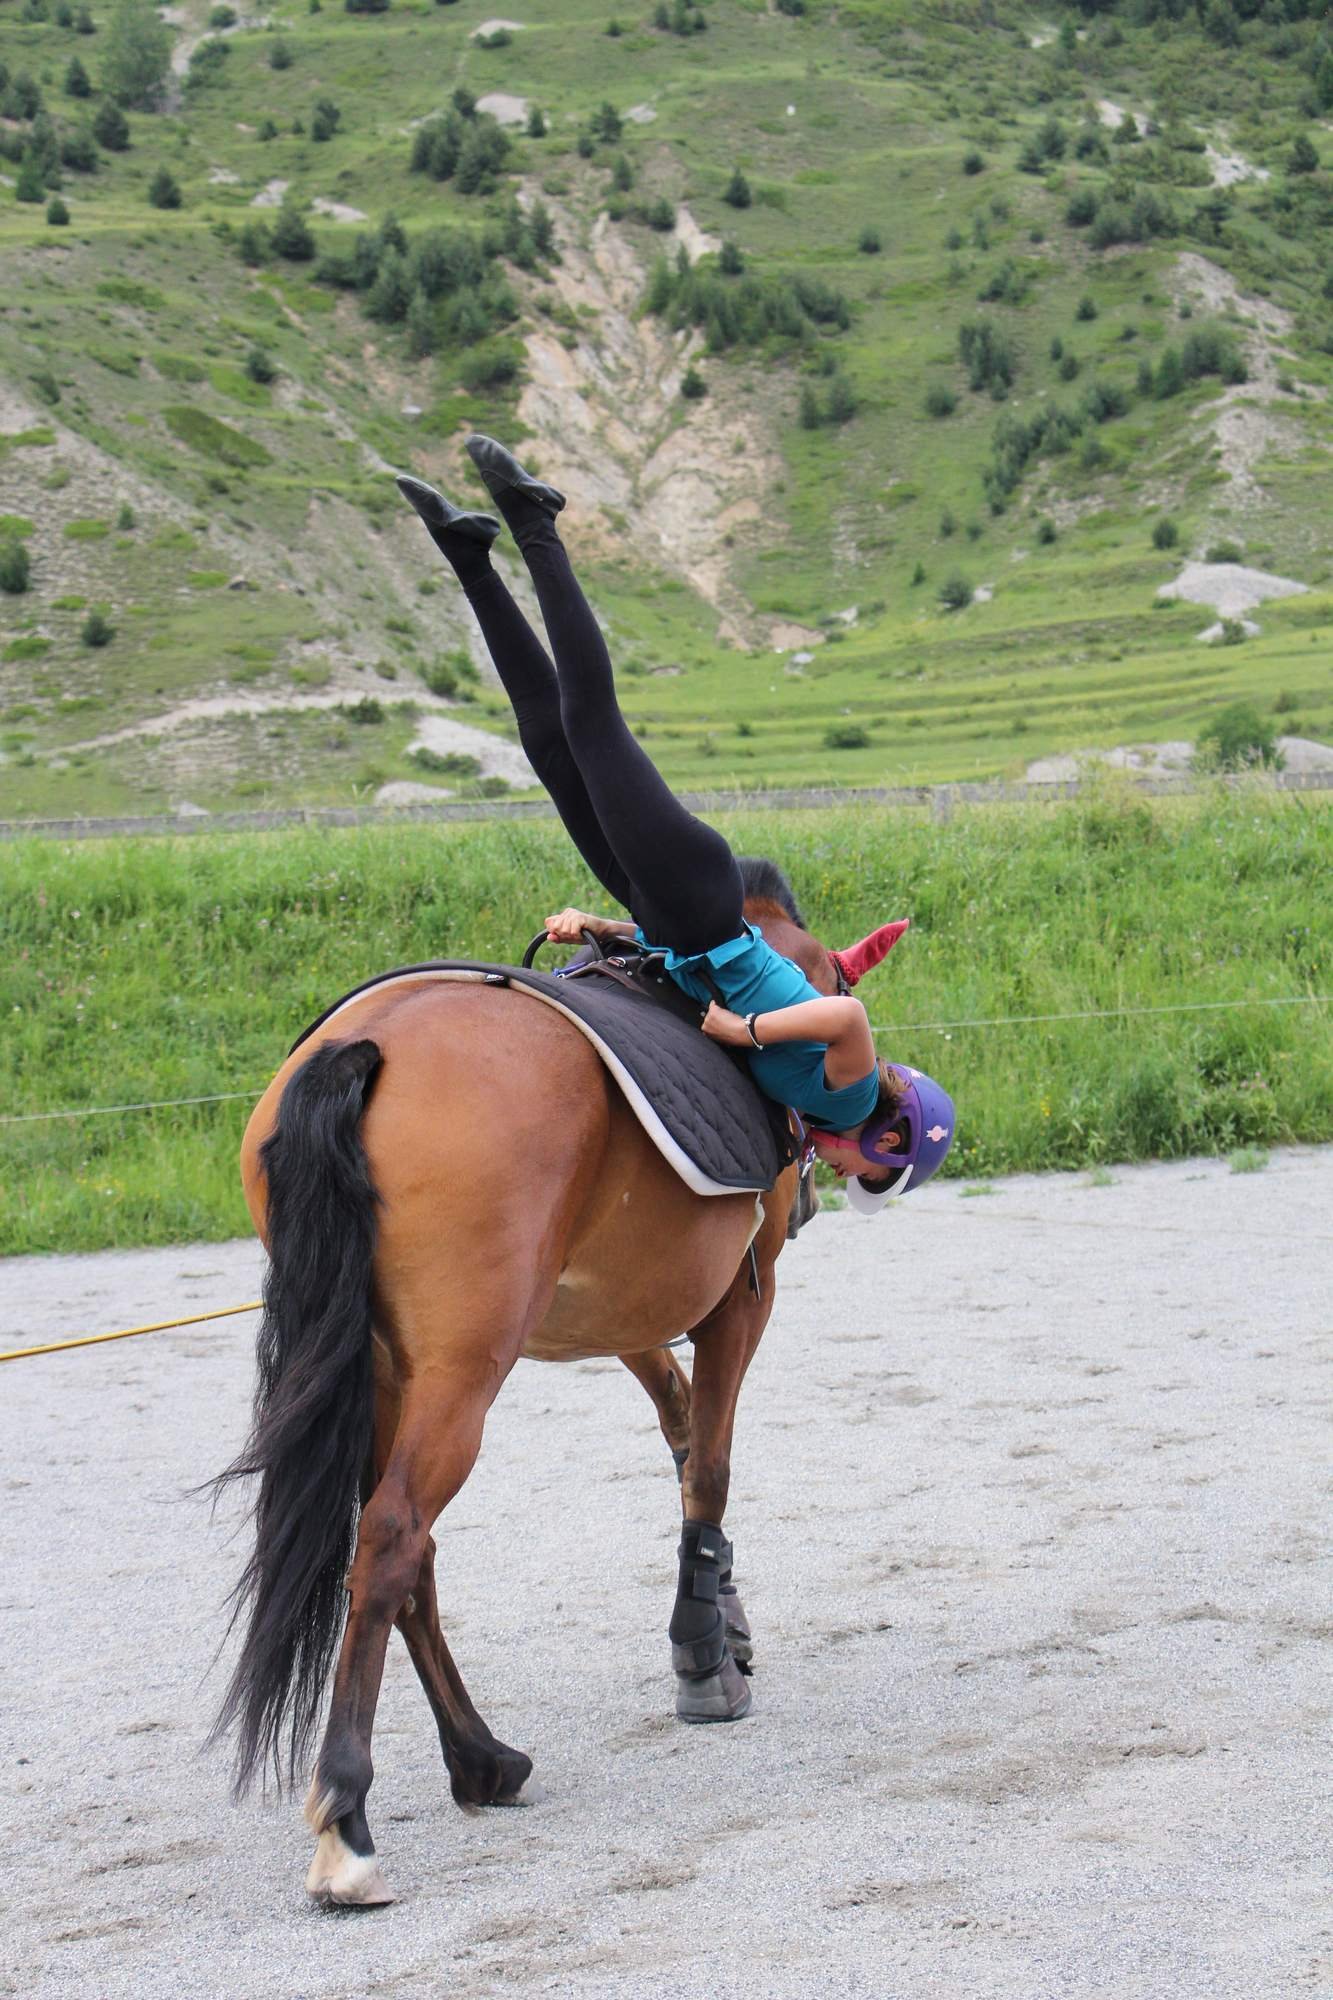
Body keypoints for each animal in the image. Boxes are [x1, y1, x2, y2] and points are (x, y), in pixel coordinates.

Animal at [213, 857, 861, 1906]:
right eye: (834, 985)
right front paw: (704, 1655)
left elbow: (682, 1432)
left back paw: (480, 1759)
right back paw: (348, 1820)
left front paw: (723, 1615)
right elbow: (711, 1463)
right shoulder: (735, 1301)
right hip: (459, 1376)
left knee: (408, 1560)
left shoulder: (616, 1312)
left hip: (384, 1373)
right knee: (392, 1538)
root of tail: (364, 1047)